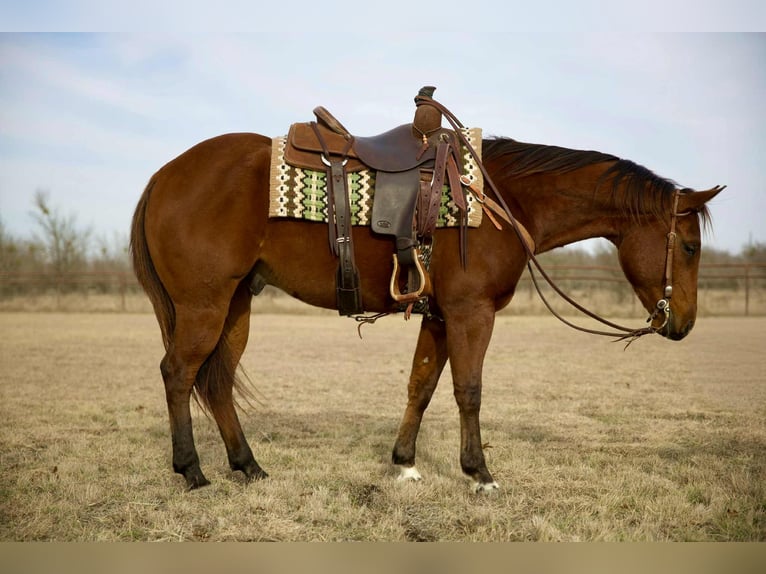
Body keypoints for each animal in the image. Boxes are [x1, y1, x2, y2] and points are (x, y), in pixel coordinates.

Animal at [130, 125, 723, 492]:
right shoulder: (470, 313)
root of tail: (164, 174)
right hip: (202, 305)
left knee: (218, 382)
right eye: (690, 248)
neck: (502, 199)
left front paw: (405, 464)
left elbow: (421, 385)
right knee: (177, 373)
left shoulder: (439, 316)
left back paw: (248, 466)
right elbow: (468, 389)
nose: (683, 324)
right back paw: (192, 470)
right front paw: (479, 472)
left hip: (234, 306)